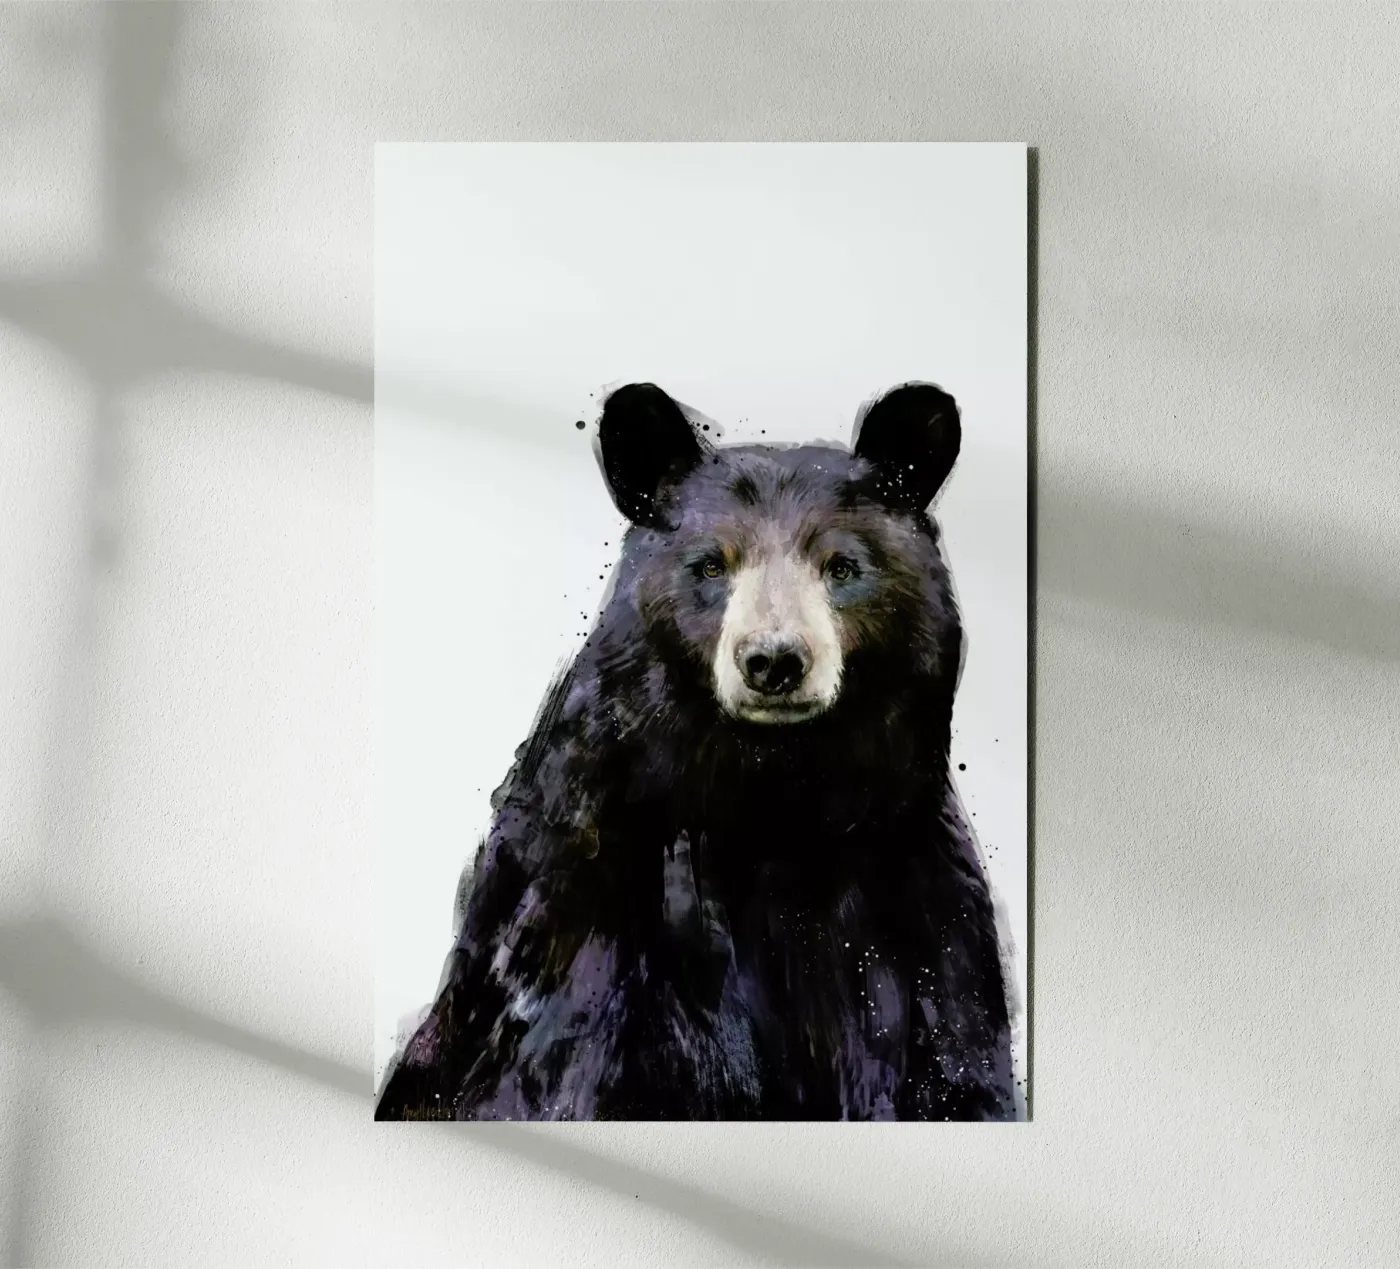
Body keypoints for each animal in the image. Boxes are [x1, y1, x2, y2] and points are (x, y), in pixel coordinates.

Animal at [375, 381, 1019, 1122]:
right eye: (712, 564)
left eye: (843, 566)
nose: (774, 660)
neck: (772, 797)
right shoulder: (589, 898)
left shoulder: (917, 899)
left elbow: (954, 1058)